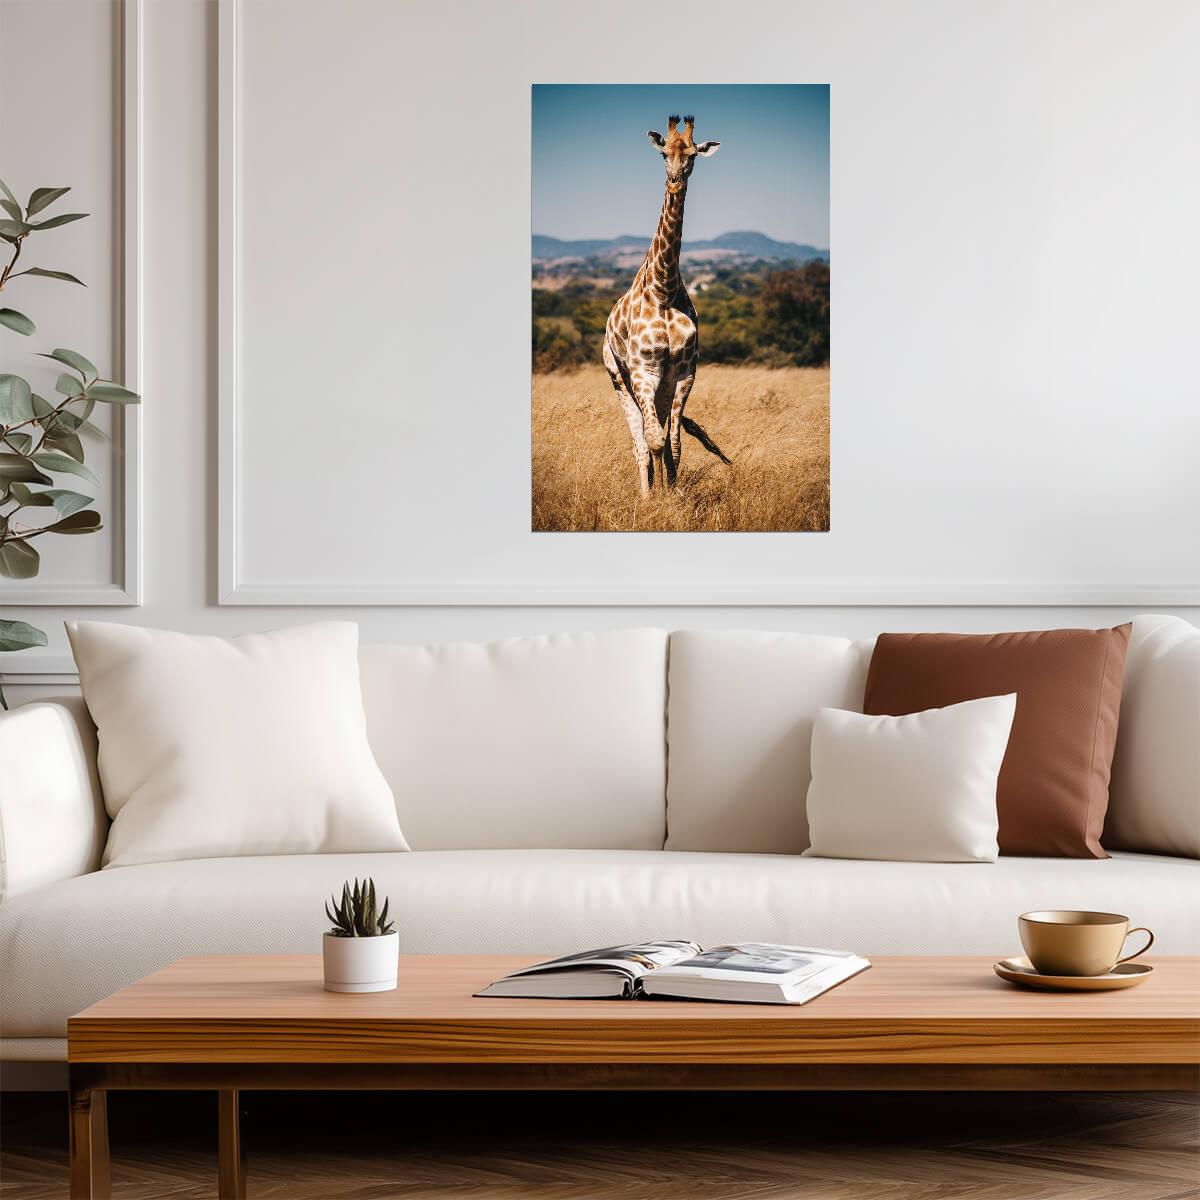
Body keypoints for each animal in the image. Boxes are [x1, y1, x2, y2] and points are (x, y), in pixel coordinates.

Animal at [604, 114, 730, 498]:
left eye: (692, 155)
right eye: (663, 154)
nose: (674, 183)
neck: (664, 289)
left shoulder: (684, 372)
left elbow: (673, 443)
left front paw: (675, 495)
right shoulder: (644, 370)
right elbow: (654, 441)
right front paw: (656, 500)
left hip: (658, 385)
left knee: (657, 433)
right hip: (619, 378)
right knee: (640, 443)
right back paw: (646, 496)